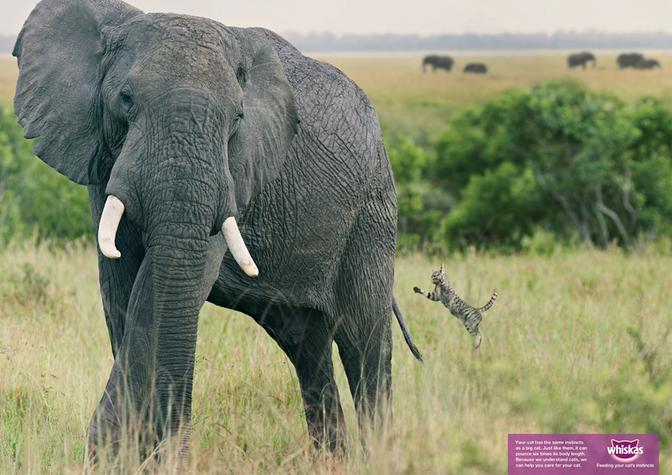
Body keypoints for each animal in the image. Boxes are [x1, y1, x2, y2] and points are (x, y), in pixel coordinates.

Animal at [13, 0, 423, 459]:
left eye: (238, 117)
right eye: (125, 99)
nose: (169, 444)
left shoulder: (235, 175)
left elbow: (160, 290)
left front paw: (123, 452)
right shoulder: (103, 165)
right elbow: (122, 292)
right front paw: (128, 454)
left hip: (372, 213)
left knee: (364, 345)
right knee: (309, 350)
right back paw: (331, 461)